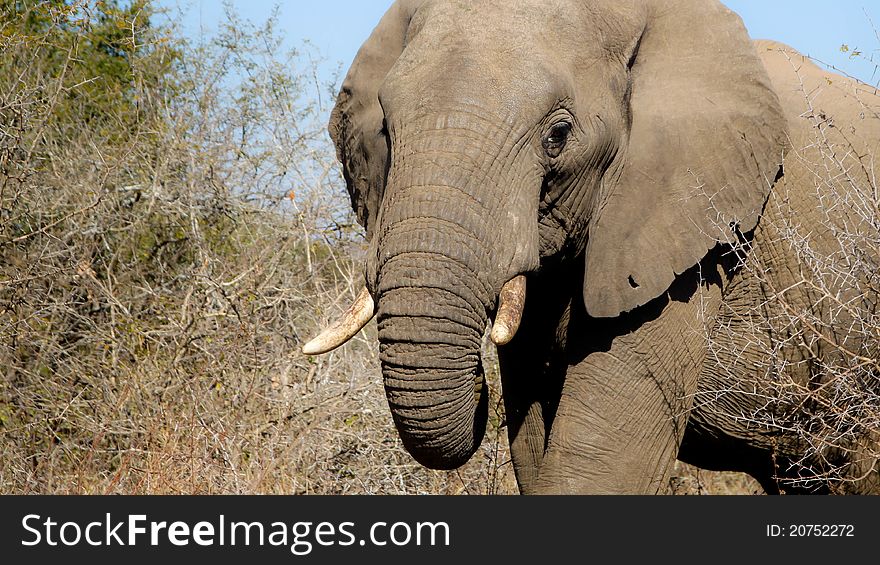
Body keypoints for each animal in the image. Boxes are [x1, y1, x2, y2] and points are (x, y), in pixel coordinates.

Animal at [302, 0, 880, 494]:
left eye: (557, 136)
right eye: (385, 130)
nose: (481, 391)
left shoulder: (689, 235)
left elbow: (602, 465)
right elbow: (535, 447)